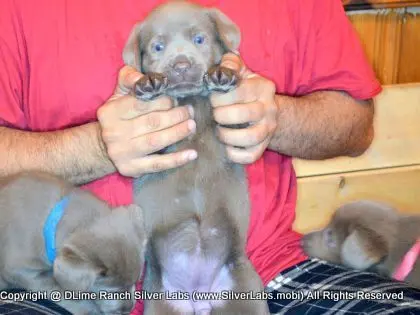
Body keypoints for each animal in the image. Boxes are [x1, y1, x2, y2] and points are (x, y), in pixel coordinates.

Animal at [123, 0, 270, 315]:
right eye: (157, 47)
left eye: (199, 39)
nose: (181, 65)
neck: (192, 100)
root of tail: (199, 296)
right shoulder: (151, 149)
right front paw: (148, 84)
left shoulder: (232, 129)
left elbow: (240, 124)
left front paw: (224, 75)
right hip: (161, 301)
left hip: (244, 289)